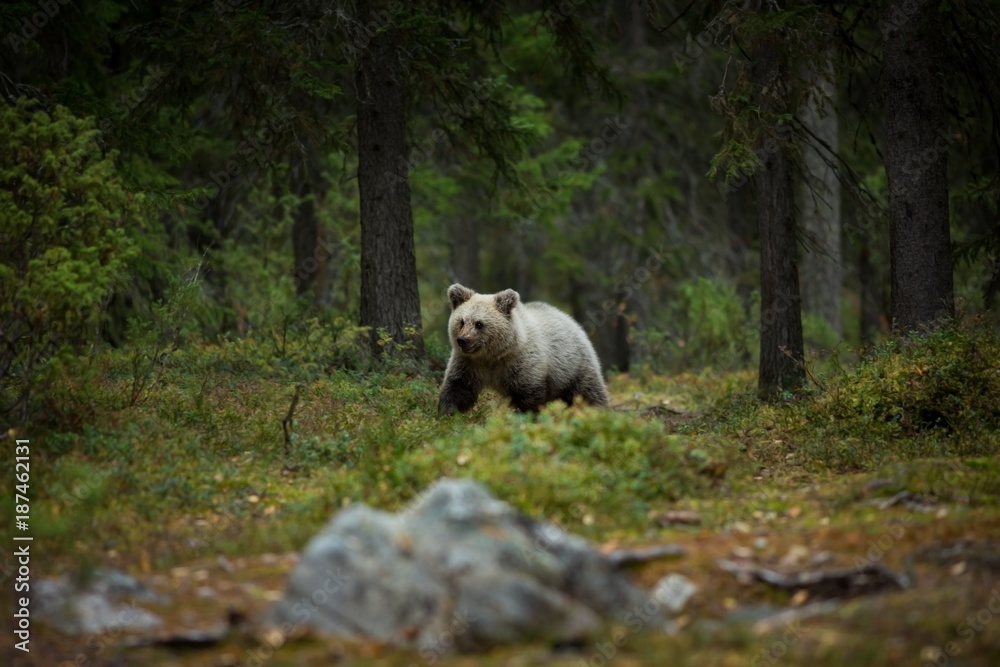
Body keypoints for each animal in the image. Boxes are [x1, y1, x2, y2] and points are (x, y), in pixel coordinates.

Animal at [438, 283, 611, 414]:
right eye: (461, 321)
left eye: (479, 324)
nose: (462, 340)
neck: (493, 356)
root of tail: (572, 321)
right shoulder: (469, 363)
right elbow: (458, 388)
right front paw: (446, 413)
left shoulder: (523, 364)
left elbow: (527, 396)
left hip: (573, 367)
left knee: (589, 392)